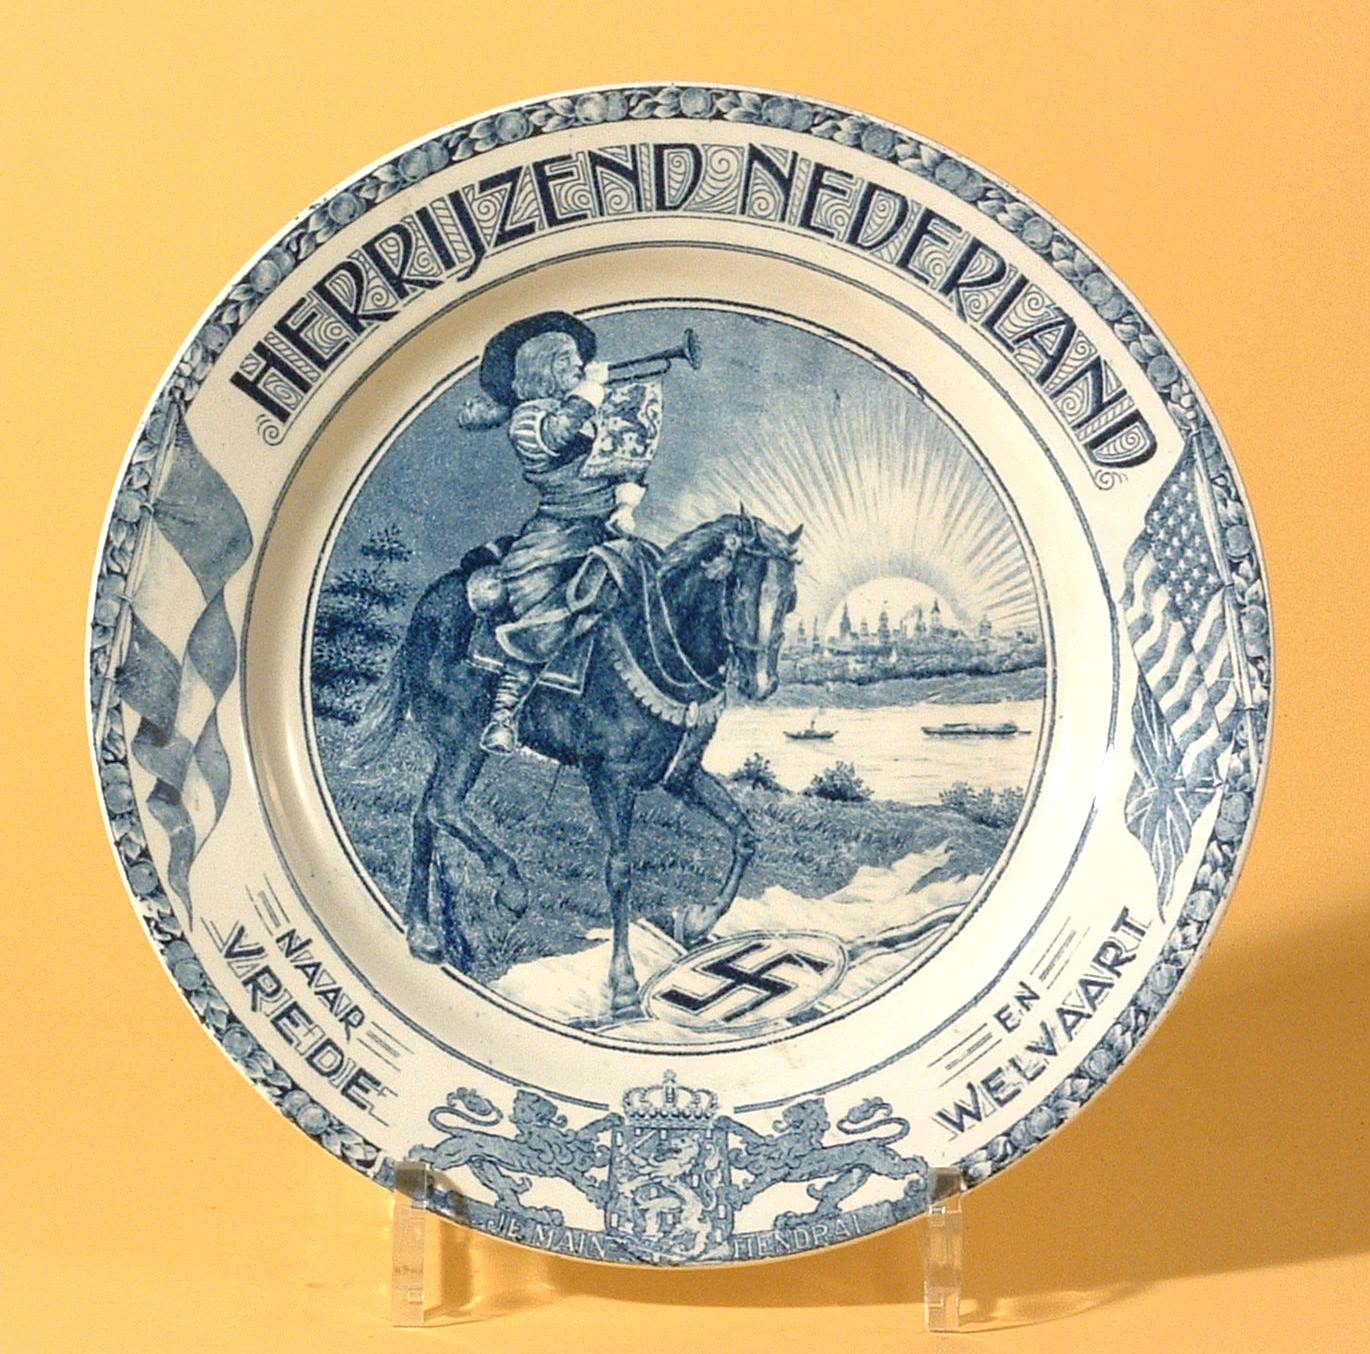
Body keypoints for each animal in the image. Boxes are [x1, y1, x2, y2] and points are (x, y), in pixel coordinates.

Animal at [351, 507, 802, 1017]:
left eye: (789, 599)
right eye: (738, 587)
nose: (761, 683)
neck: (660, 645)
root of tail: (429, 602)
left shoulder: (683, 776)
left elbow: (744, 834)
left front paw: (700, 919)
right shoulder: (611, 780)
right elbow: (620, 870)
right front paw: (623, 983)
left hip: (449, 750)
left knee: (424, 816)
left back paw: (422, 934)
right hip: (464, 744)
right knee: (443, 807)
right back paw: (511, 889)